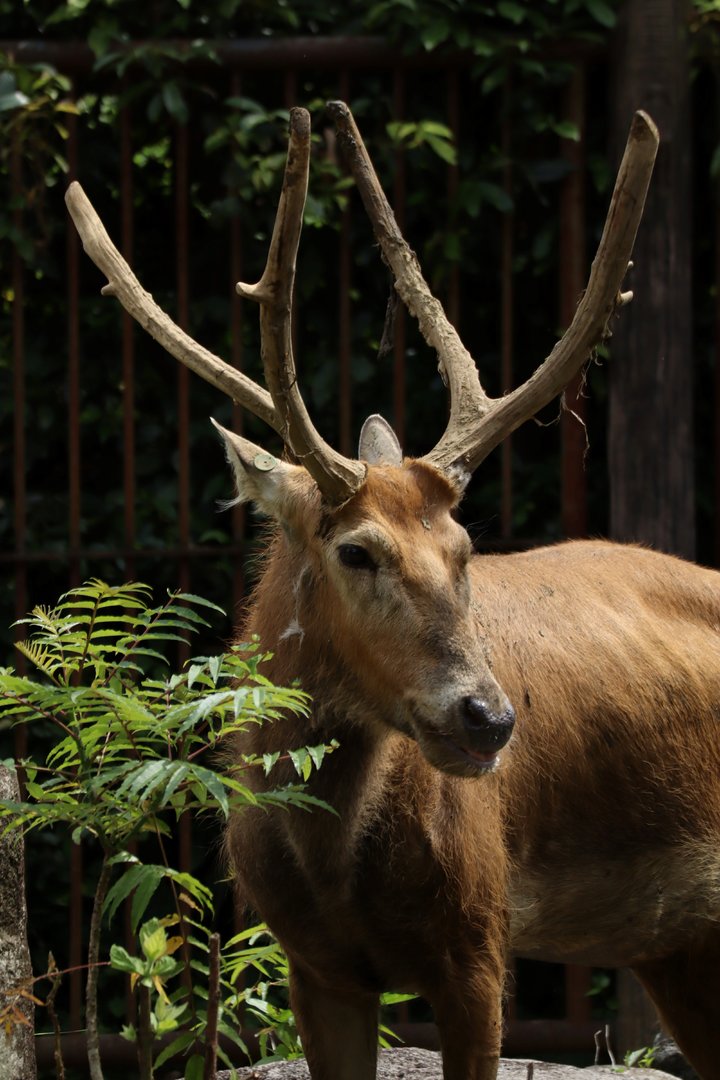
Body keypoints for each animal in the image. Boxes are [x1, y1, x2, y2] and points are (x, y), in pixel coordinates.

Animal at [65, 102, 720, 1080]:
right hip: (675, 944)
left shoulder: (479, 941)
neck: (335, 871)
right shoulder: (312, 963)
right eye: (357, 551)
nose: (488, 717)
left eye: (465, 548)